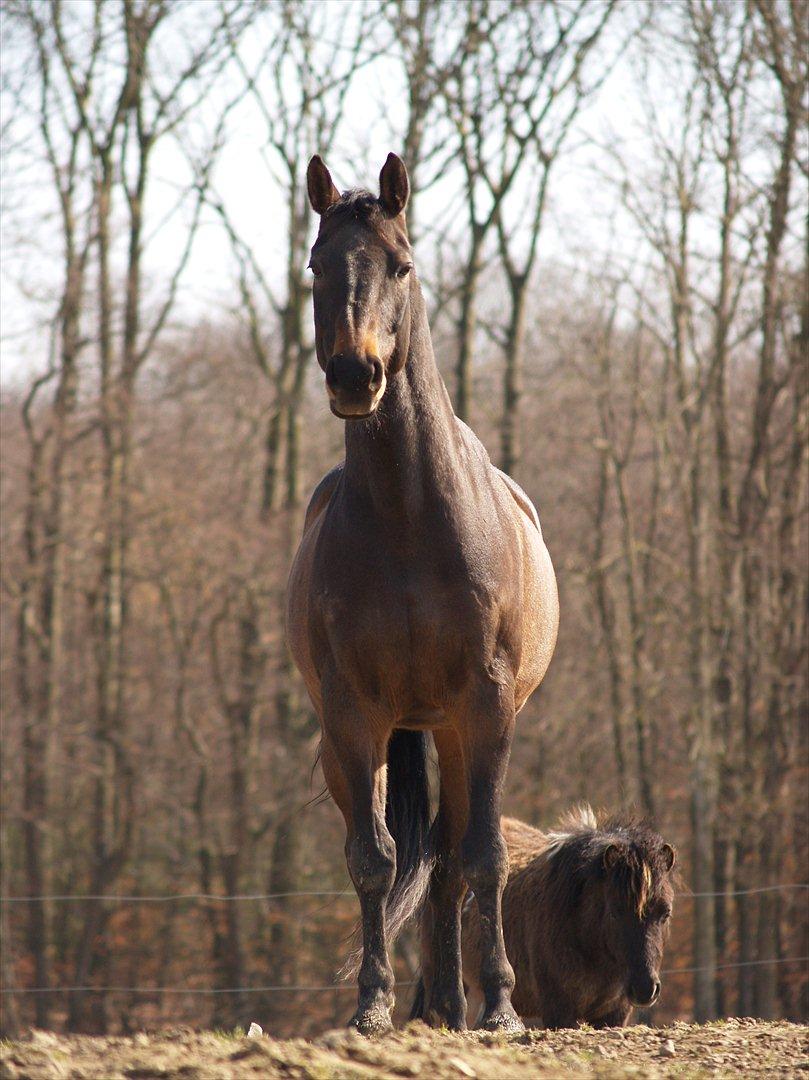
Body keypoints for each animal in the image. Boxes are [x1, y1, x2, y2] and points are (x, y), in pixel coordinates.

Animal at [282, 154, 557, 1036]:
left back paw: (454, 1002)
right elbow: (374, 860)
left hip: (459, 732)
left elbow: (484, 856)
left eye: (399, 265)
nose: (354, 375)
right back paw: (432, 1002)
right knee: (417, 855)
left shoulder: (486, 707)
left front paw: (500, 1005)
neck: (408, 518)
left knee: (449, 858)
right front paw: (371, 1003)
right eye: (316, 265)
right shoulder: (351, 715)